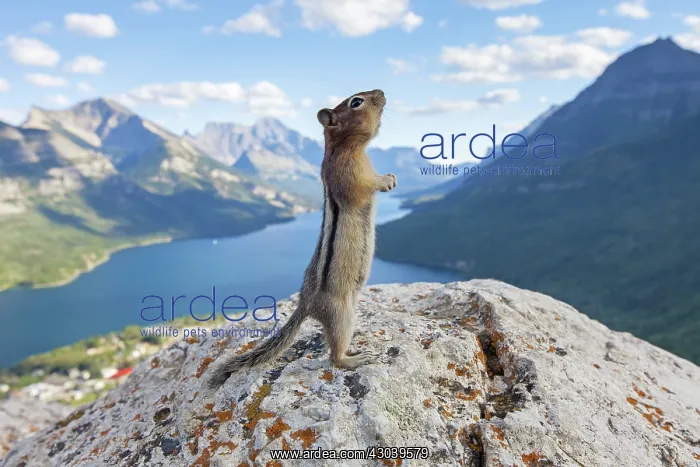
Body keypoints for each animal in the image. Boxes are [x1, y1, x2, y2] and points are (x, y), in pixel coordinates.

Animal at [208, 89, 396, 387]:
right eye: (356, 102)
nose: (382, 92)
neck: (345, 148)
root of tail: (305, 303)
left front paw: (391, 176)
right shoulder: (347, 176)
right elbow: (363, 187)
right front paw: (385, 181)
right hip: (341, 314)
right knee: (335, 356)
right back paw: (356, 358)